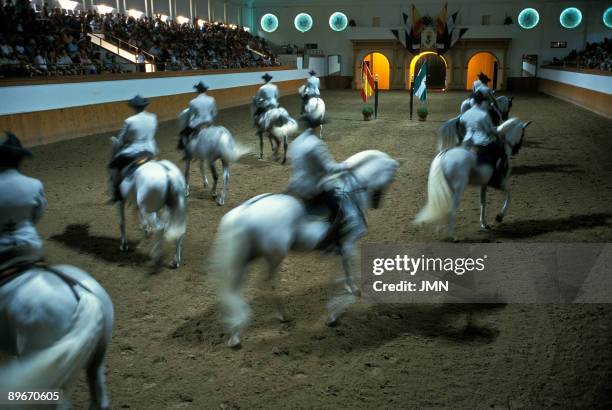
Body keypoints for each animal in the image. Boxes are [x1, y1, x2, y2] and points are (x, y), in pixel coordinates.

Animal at [110, 138, 186, 268]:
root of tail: (168, 173)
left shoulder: (120, 201)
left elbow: (121, 221)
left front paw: (123, 245)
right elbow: (137, 215)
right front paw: (146, 230)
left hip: (149, 210)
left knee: (160, 228)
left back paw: (156, 256)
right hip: (173, 208)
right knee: (177, 231)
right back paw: (175, 260)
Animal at [212, 149, 402, 348]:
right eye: (391, 177)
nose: (377, 202)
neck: (351, 191)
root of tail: (244, 212)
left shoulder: (340, 249)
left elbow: (342, 272)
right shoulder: (348, 244)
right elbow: (348, 272)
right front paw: (344, 301)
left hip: (250, 257)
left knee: (240, 289)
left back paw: (240, 331)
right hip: (275, 256)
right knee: (268, 283)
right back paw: (280, 316)